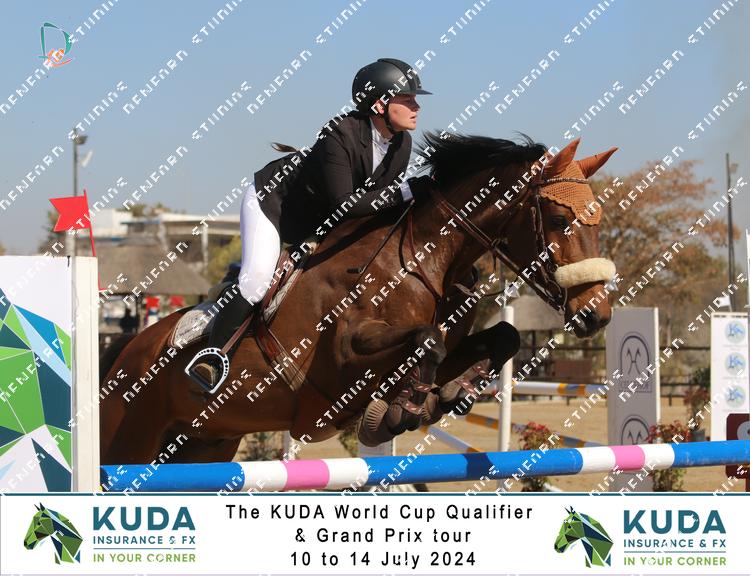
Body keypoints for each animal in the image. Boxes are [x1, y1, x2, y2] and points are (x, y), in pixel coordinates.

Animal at [99, 134, 617, 465]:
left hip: (204, 444)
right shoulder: (344, 360)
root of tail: (124, 352)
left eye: (599, 218)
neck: (419, 260)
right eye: (557, 219)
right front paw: (405, 408)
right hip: (130, 441)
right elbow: (426, 341)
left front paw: (450, 393)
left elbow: (501, 336)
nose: (597, 314)